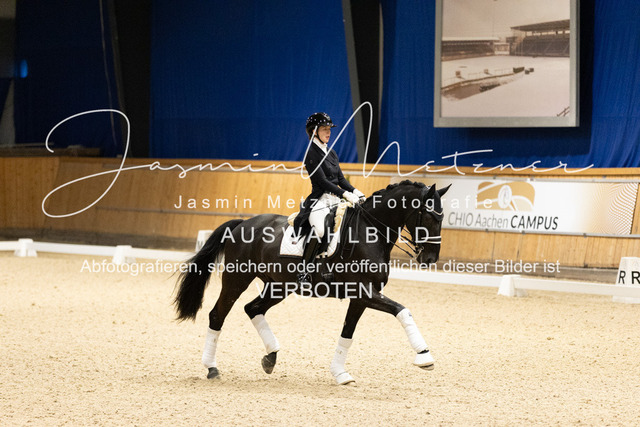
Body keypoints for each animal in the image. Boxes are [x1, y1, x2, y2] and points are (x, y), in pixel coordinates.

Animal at [173, 180, 450, 385]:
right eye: (429, 217)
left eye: (442, 217)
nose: (430, 258)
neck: (369, 232)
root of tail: (243, 223)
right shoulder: (364, 292)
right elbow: (403, 311)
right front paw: (424, 356)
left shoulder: (361, 297)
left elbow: (347, 333)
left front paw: (340, 374)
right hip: (237, 279)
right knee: (217, 315)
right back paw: (212, 368)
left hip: (278, 286)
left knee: (252, 308)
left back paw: (270, 357)